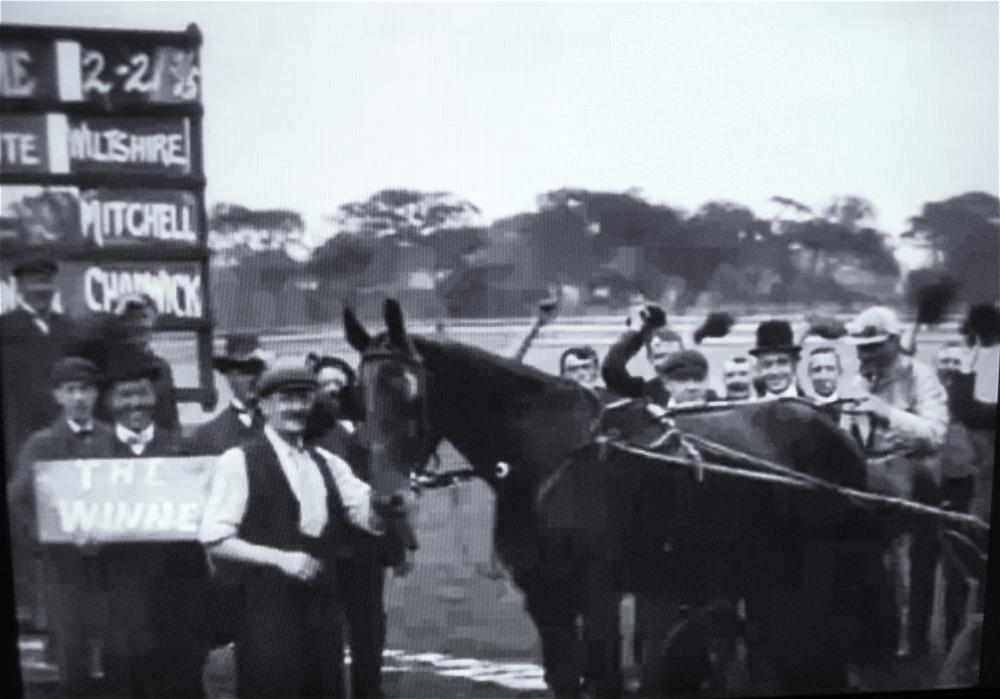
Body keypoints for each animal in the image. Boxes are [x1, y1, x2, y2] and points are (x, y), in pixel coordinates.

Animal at [348, 302, 896, 699]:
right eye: (360, 395)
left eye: (410, 391)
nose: (388, 500)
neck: (546, 453)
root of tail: (831, 424)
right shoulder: (544, 594)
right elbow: (566, 679)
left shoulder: (599, 590)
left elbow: (604, 677)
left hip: (818, 574)